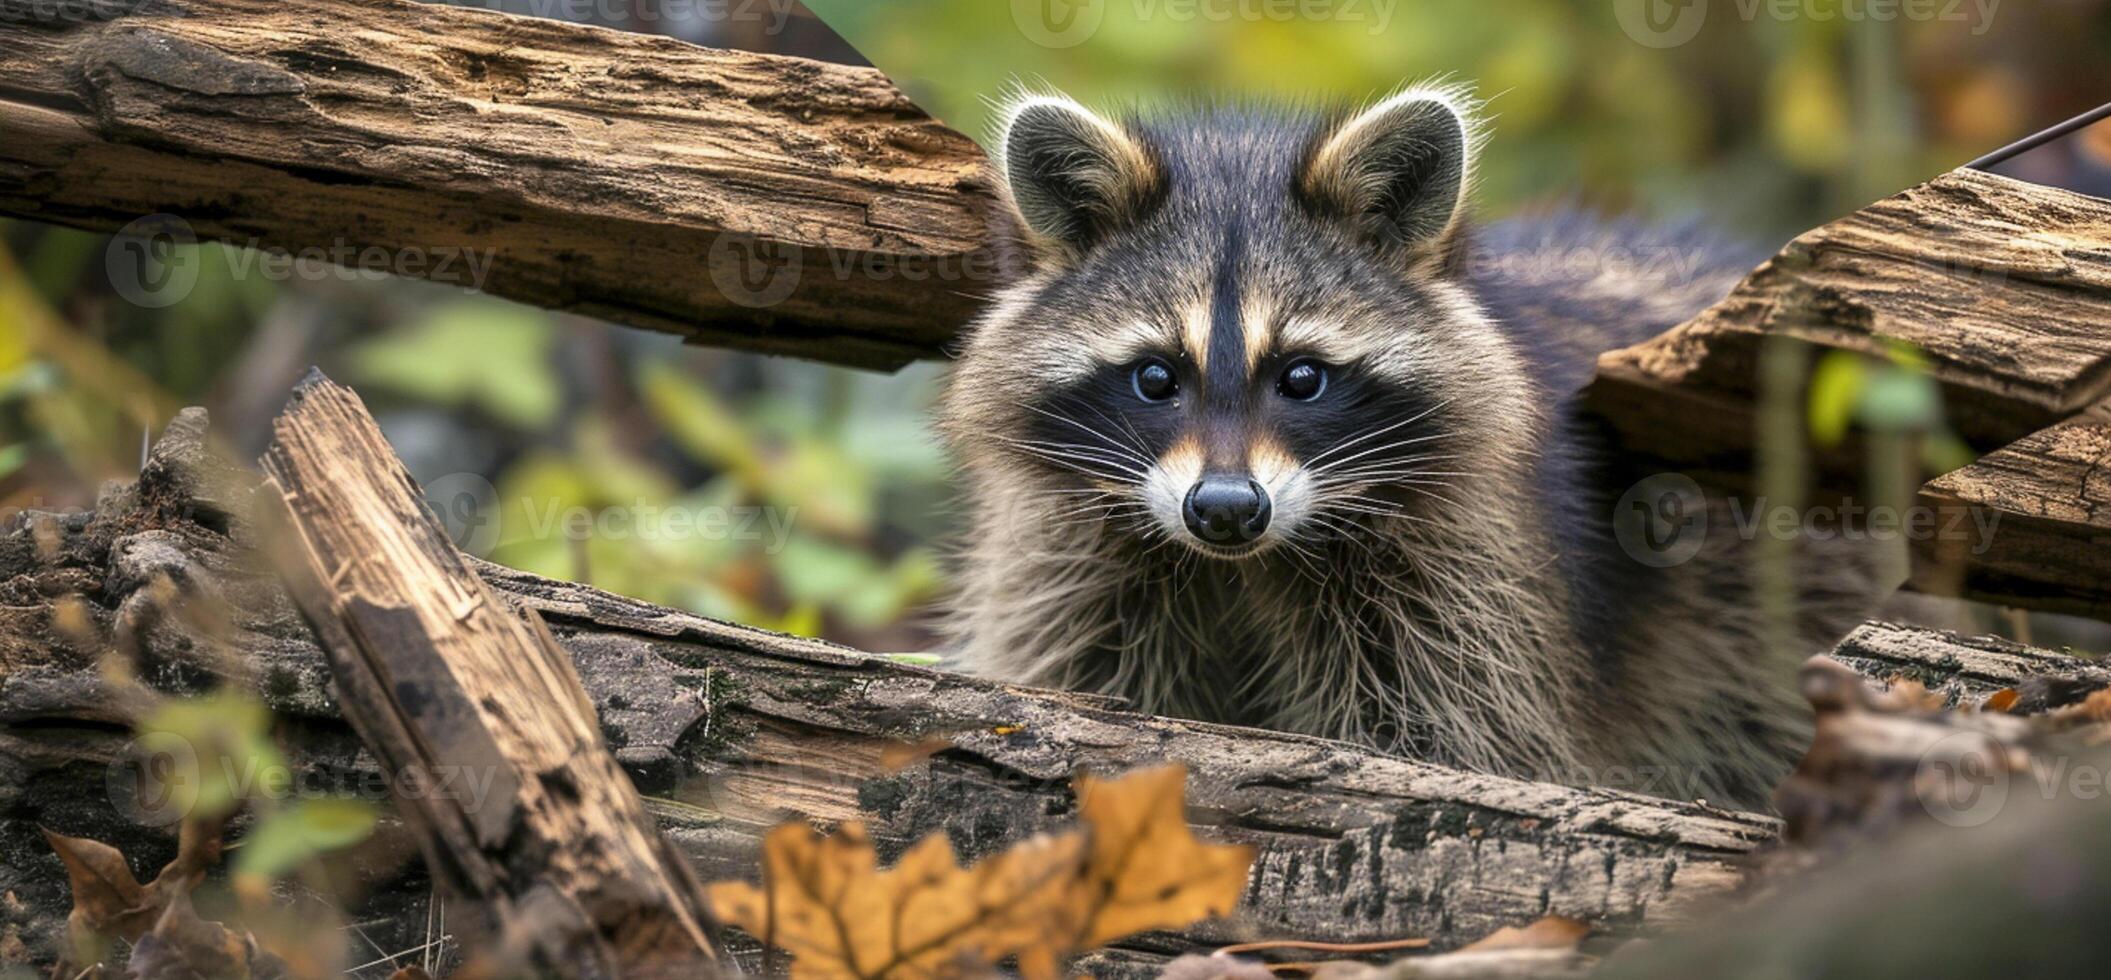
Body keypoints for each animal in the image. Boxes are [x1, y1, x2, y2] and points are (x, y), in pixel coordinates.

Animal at [941, 84, 1883, 806]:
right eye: (1154, 378)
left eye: (1302, 377)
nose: (1226, 510)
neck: (1246, 563)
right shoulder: (1078, 560)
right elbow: (1082, 671)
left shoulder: (1473, 569)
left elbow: (1457, 734)